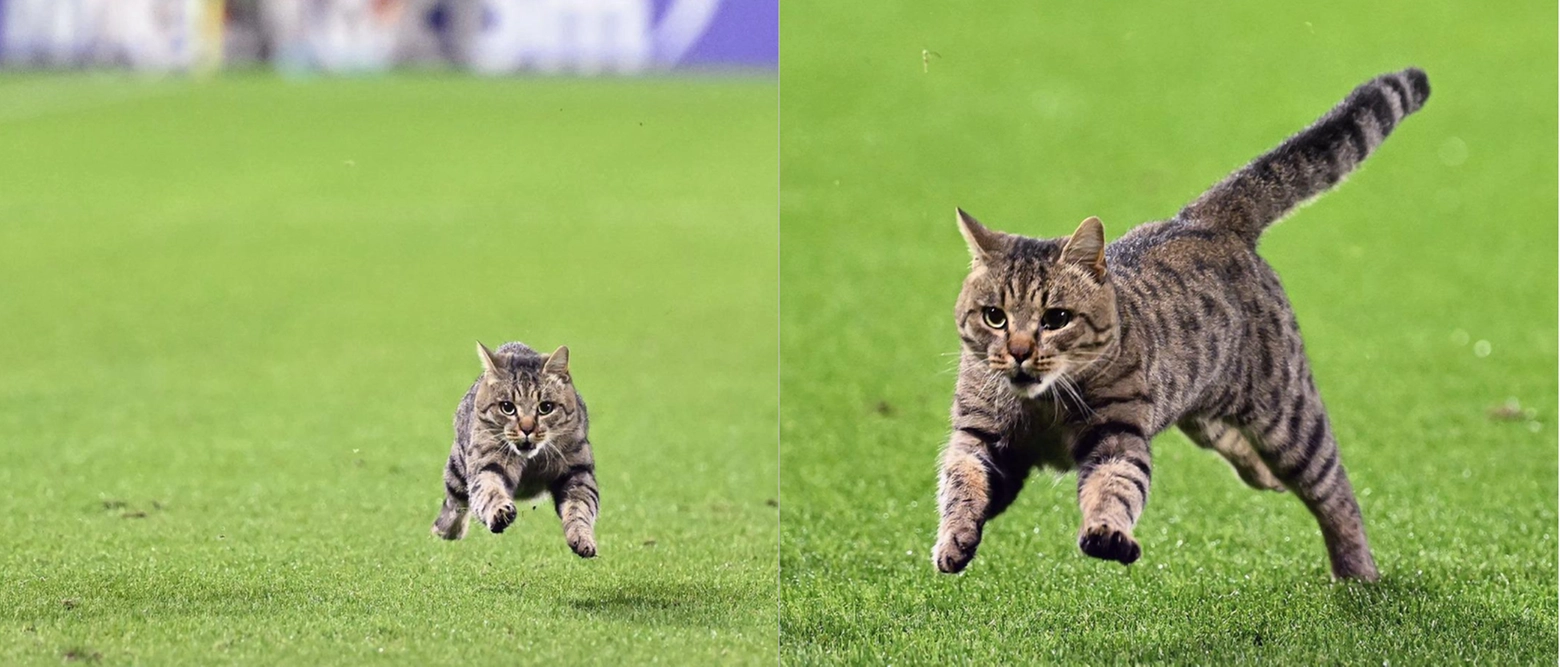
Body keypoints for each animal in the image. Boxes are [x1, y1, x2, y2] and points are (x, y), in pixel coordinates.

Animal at [433, 338, 595, 557]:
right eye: (507, 407)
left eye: (546, 407)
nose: (527, 428)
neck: (531, 462)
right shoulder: (488, 462)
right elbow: (489, 490)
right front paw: (499, 512)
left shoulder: (578, 470)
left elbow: (580, 507)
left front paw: (582, 537)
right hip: (458, 468)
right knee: (454, 502)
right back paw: (445, 530)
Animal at [929, 65, 1428, 579]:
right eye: (995, 317)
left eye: (1056, 319)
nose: (1020, 351)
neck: (1041, 407)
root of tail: (1201, 218)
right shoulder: (978, 436)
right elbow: (960, 483)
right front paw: (955, 538)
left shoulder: (1116, 436)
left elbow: (1114, 487)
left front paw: (1107, 532)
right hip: (1203, 407)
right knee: (1236, 442)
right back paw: (1267, 479)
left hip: (1289, 418)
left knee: (1336, 490)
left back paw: (1357, 573)